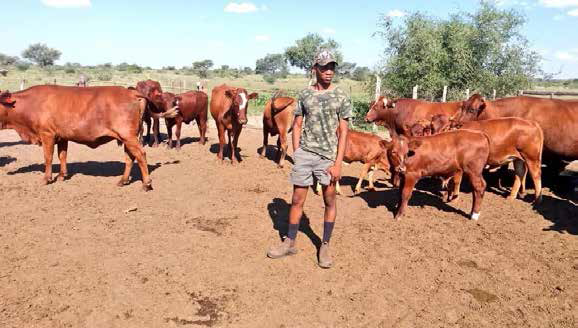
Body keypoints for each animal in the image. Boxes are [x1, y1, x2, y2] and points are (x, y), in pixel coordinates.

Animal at [0, 86, 163, 191]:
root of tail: (132, 92)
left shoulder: (47, 135)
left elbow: (48, 157)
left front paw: (47, 179)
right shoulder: (62, 137)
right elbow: (62, 156)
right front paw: (62, 176)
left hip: (128, 136)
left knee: (140, 155)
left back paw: (146, 184)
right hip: (126, 138)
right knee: (130, 157)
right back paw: (123, 181)